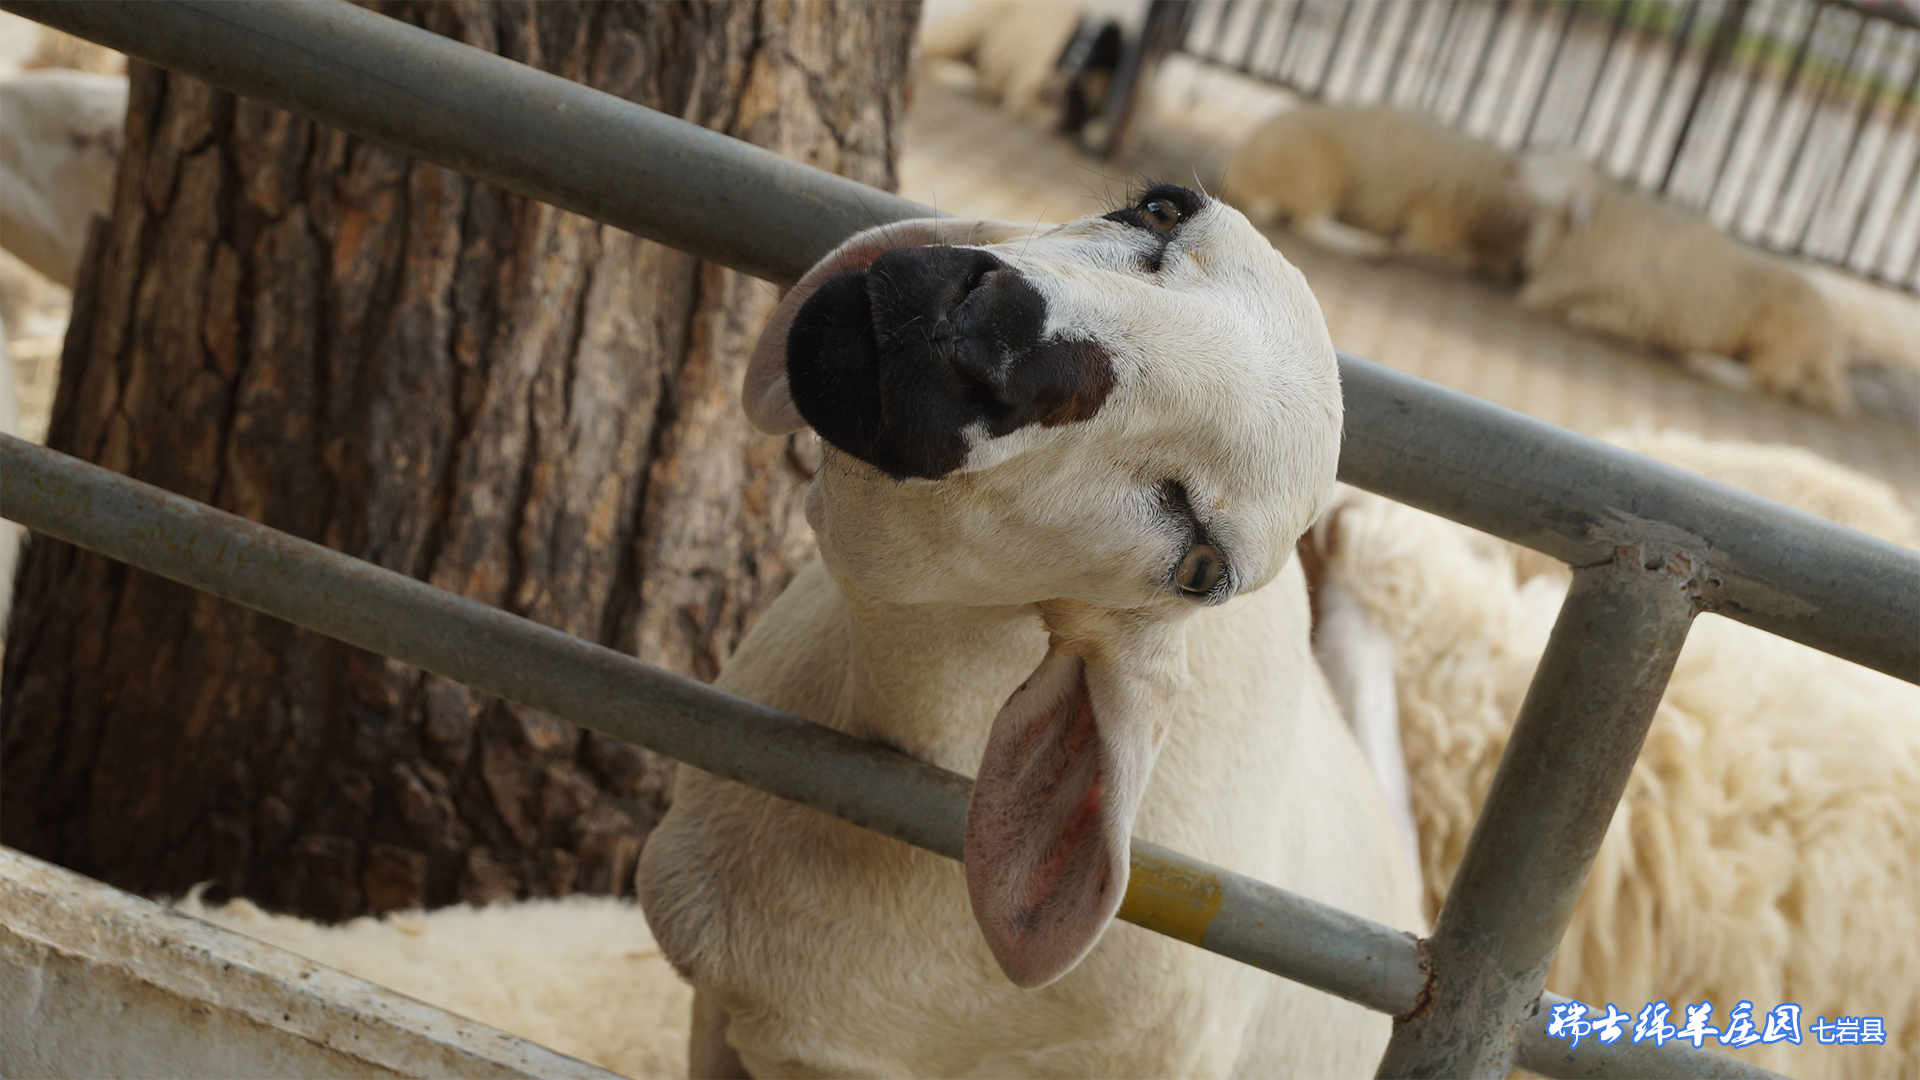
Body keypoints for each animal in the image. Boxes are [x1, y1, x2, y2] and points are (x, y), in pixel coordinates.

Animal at [1505, 153, 1850, 413]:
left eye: (1562, 170)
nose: (1515, 169)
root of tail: (1830, 345)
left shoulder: (1636, 307)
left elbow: (1579, 311)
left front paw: (1579, 314)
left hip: (1782, 339)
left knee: (1769, 381)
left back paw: (1709, 365)